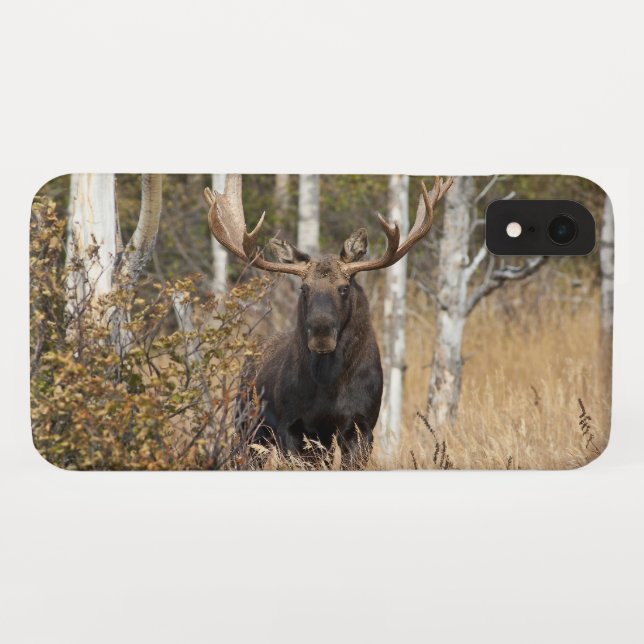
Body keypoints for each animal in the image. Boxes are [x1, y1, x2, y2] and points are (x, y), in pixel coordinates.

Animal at [205, 175, 453, 468]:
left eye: (344, 288)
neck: (329, 388)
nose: (321, 334)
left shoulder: (362, 425)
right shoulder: (292, 427)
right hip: (247, 425)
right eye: (304, 288)